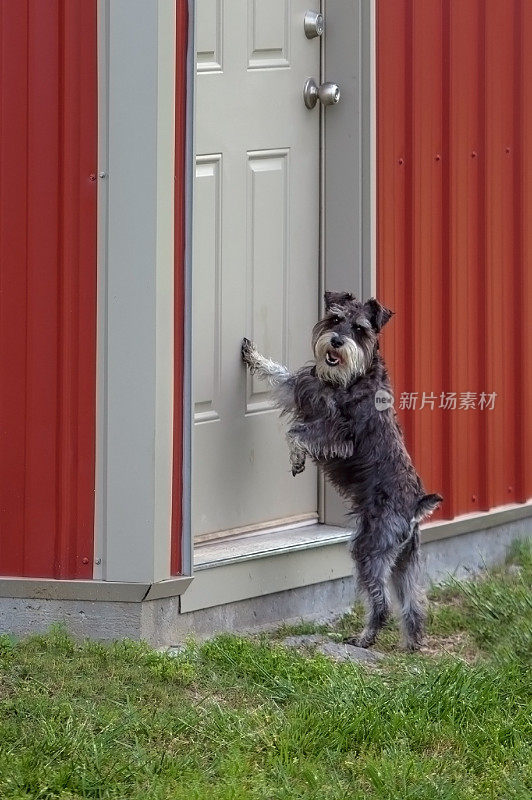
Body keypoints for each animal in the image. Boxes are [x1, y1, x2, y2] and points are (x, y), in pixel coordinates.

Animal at [243, 290, 442, 648]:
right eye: (335, 319)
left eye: (360, 328)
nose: (336, 341)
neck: (354, 375)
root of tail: (415, 508)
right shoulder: (304, 389)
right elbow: (280, 375)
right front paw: (252, 355)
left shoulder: (335, 432)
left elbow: (296, 432)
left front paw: (296, 459)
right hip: (404, 560)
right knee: (413, 603)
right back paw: (411, 645)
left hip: (368, 550)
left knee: (381, 601)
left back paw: (364, 638)